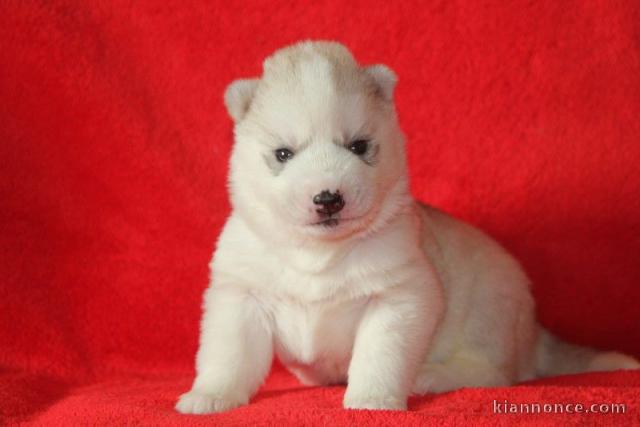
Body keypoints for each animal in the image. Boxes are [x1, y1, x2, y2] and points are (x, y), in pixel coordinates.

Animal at [176, 41, 640, 412]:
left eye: (359, 146)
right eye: (283, 153)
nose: (328, 198)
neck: (320, 252)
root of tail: (536, 334)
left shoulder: (400, 297)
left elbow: (380, 356)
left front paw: (372, 400)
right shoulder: (240, 296)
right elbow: (228, 356)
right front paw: (210, 396)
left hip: (489, 308)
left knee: (490, 371)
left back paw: (431, 376)